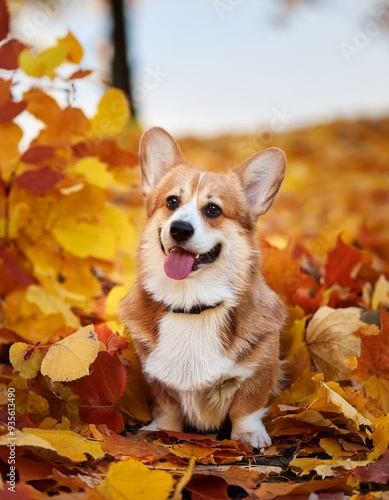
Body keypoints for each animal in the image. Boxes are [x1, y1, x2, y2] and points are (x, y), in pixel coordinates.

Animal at [119, 127, 286, 448]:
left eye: (212, 209)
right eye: (172, 202)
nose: (180, 229)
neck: (191, 304)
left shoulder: (261, 367)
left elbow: (247, 406)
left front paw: (249, 434)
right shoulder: (154, 375)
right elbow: (167, 407)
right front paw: (161, 430)